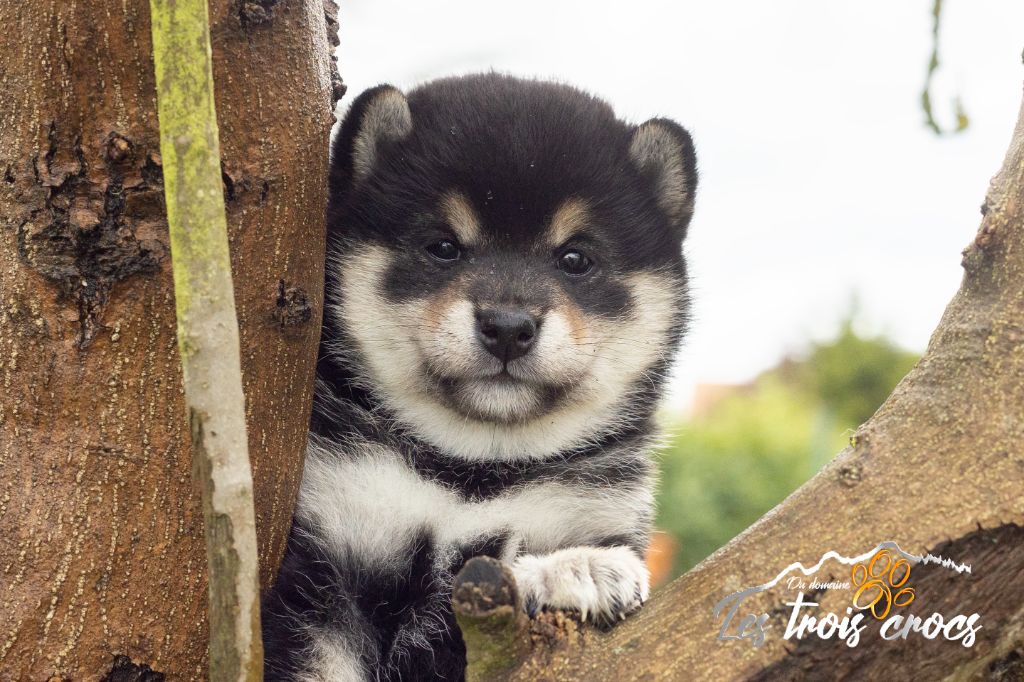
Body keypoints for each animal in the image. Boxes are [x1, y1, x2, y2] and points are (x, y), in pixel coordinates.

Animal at [262, 72, 697, 681]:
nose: (508, 326)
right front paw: (576, 571)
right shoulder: (327, 566)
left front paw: (577, 568)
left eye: (575, 259)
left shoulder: (580, 510)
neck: (474, 471)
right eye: (444, 247)